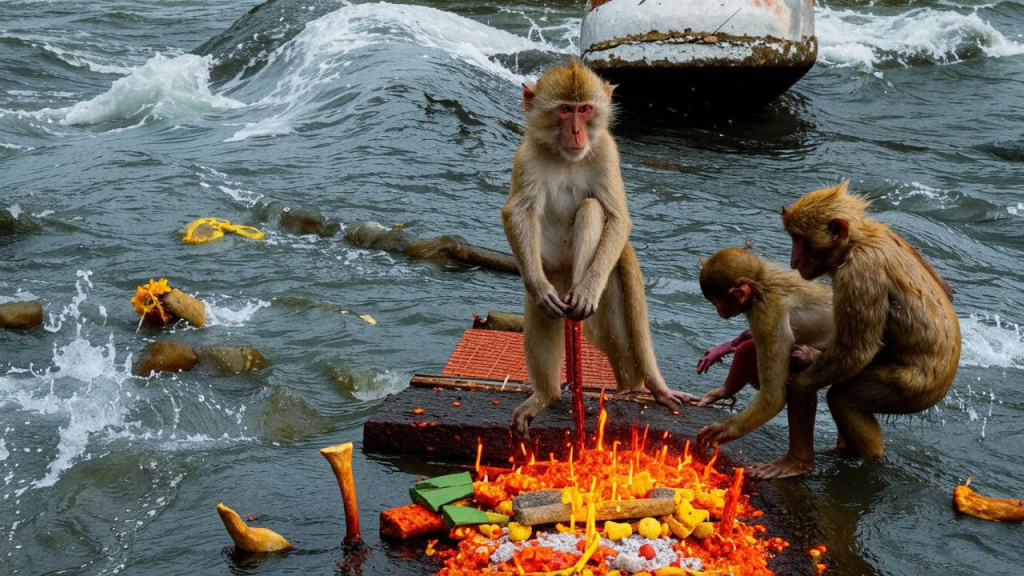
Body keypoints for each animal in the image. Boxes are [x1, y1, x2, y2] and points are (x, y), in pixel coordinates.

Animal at [503, 58, 696, 436]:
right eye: (565, 110)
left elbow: (618, 218)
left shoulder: (607, 151)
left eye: (585, 109)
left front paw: (589, 291)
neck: (566, 157)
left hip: (602, 276)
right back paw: (546, 395)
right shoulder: (526, 155)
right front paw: (537, 288)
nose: (577, 132)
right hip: (551, 271)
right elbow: (518, 213)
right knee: (542, 311)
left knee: (592, 210)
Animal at [692, 245, 835, 475]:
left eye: (716, 301)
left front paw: (724, 431)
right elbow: (747, 346)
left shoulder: (765, 314)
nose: (719, 312)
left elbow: (773, 397)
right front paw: (722, 391)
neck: (761, 283)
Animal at [782, 179, 958, 457]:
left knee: (843, 397)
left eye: (799, 239)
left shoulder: (860, 272)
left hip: (911, 388)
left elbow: (856, 352)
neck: (857, 241)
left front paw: (799, 385)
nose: (794, 260)